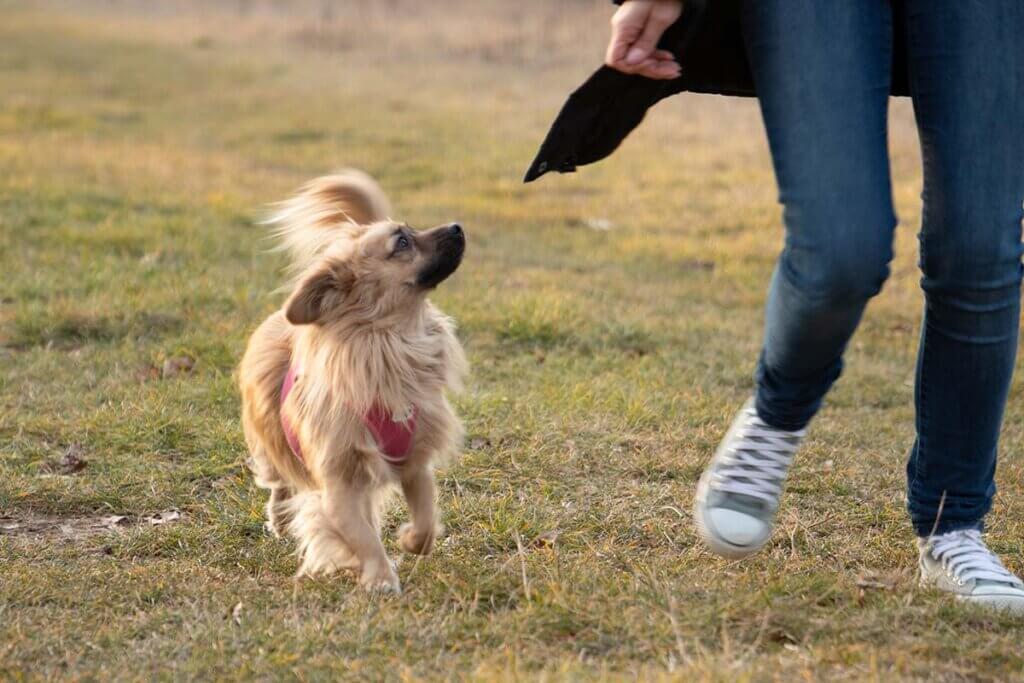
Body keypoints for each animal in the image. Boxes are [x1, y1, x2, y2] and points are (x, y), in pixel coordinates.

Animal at [237, 171, 466, 593]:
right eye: (402, 242)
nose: (458, 226)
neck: (392, 340)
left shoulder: (414, 462)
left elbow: (426, 519)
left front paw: (410, 540)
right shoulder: (338, 485)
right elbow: (361, 535)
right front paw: (380, 576)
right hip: (270, 438)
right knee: (279, 480)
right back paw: (280, 517)